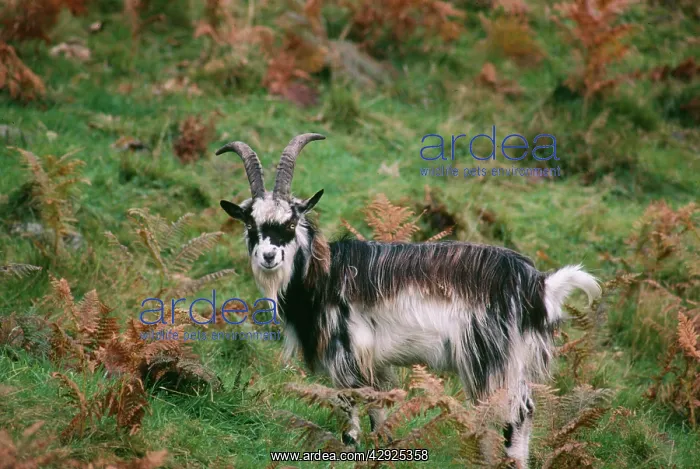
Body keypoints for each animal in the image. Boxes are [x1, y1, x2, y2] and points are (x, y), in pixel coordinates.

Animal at [217, 133, 601, 468]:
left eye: (290, 222)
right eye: (251, 225)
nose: (268, 256)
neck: (324, 274)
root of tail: (538, 285)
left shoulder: (347, 350)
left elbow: (351, 408)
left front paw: (351, 447)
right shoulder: (374, 360)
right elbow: (378, 407)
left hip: (492, 357)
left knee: (514, 413)